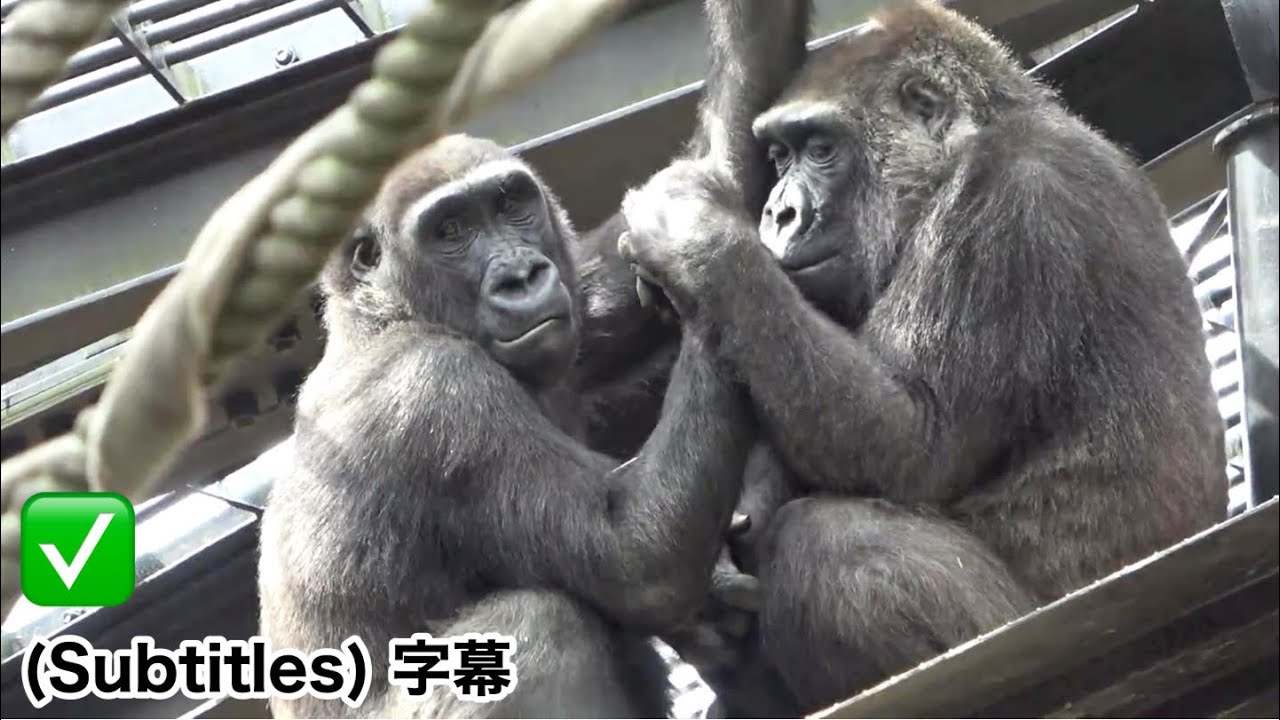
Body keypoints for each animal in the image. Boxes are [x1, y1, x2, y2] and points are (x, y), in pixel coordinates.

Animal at [258, 135, 756, 719]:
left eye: (510, 204)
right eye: (450, 230)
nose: (521, 277)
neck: (385, 317)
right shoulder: (436, 391)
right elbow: (636, 557)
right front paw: (695, 244)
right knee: (540, 621)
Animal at [617, 1, 1227, 713]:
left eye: (821, 150)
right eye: (777, 155)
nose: (776, 212)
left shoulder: (1009, 200)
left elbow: (914, 442)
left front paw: (695, 235)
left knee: (824, 541)